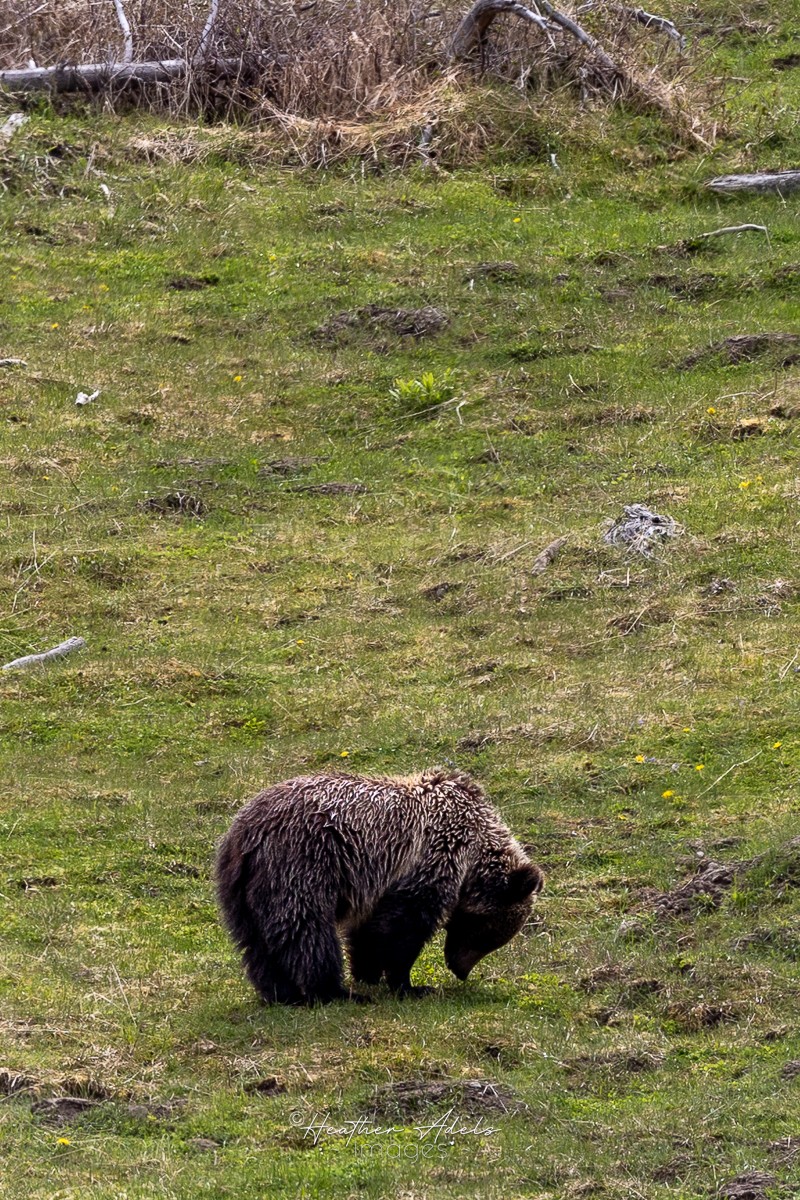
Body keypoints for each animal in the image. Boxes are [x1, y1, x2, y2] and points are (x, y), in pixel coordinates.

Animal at [215, 767, 543, 1005]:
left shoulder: (378, 885)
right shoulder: (428, 859)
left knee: (255, 942)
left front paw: (367, 971)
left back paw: (282, 993)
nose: (459, 969)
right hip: (302, 863)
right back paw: (335, 992)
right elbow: (403, 928)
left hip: (240, 890)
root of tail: (244, 834)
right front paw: (408, 984)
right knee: (306, 929)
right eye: (487, 932)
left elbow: (369, 930)